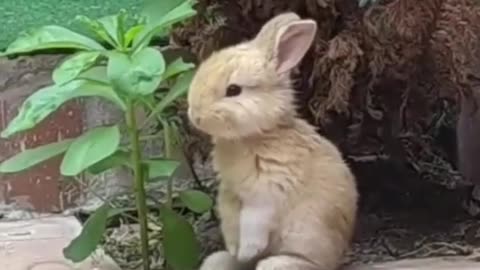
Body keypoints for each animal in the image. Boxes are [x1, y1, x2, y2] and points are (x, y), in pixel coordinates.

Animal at [186, 11, 358, 270]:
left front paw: (248, 251)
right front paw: (237, 250)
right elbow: (230, 217)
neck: (251, 137)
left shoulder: (268, 193)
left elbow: (254, 222)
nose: (195, 115)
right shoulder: (230, 192)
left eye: (234, 90)